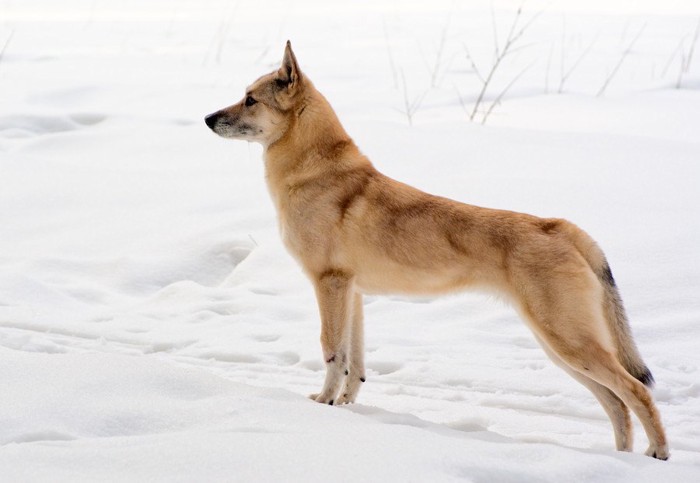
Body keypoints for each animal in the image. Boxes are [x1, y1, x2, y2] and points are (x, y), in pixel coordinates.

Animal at [205, 42, 668, 462]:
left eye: (250, 99)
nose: (208, 118)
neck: (314, 171)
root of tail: (561, 227)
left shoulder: (329, 283)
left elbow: (332, 353)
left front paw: (321, 405)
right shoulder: (353, 292)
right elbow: (356, 365)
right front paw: (344, 409)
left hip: (567, 342)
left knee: (636, 393)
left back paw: (657, 454)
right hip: (561, 348)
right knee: (617, 404)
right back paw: (622, 460)